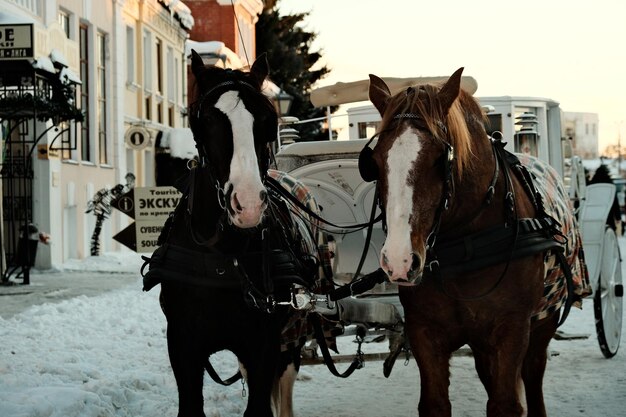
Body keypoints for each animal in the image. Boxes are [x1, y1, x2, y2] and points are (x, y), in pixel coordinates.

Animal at [141, 50, 316, 414]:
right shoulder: (183, 345)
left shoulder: (265, 345)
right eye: (206, 120)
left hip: (292, 335)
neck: (224, 258)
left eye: (267, 119)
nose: (247, 203)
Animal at [360, 70, 580, 414]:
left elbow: (505, 403)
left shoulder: (512, 328)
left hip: (544, 320)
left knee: (533, 375)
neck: (467, 248)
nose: (399, 260)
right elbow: (436, 402)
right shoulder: (424, 331)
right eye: (377, 161)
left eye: (440, 158)